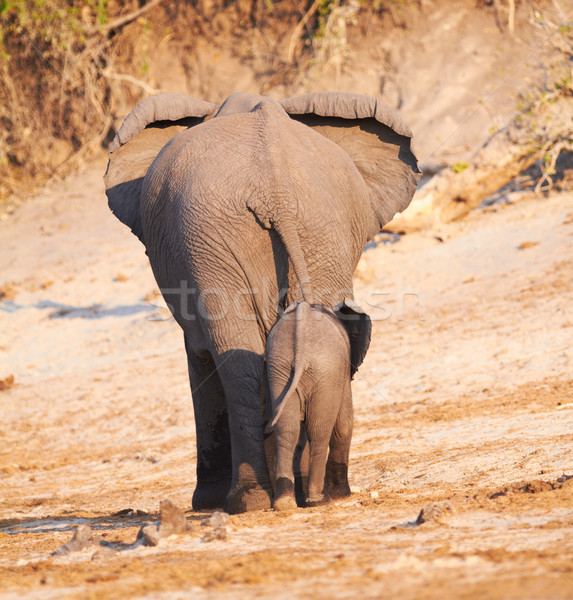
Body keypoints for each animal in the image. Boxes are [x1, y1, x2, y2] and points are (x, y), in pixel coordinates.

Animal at [266, 302, 356, 508]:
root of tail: (300, 355)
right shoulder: (342, 370)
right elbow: (343, 424)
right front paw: (342, 495)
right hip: (325, 372)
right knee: (319, 431)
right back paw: (319, 500)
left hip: (279, 368)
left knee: (287, 429)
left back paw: (284, 503)